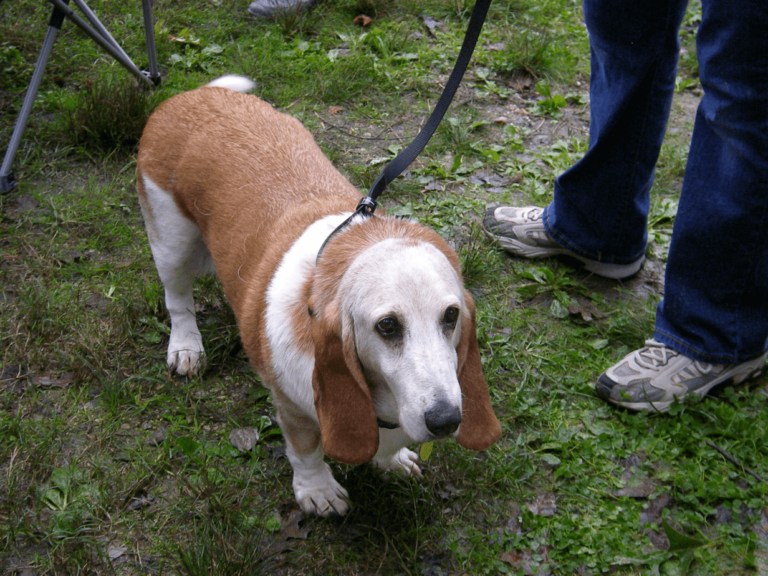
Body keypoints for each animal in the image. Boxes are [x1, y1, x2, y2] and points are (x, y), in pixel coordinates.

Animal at [136, 75, 500, 512]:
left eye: (451, 316)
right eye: (387, 326)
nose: (445, 420)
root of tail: (194, 95)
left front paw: (392, 460)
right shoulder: (294, 409)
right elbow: (305, 449)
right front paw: (318, 491)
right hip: (171, 245)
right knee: (178, 299)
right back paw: (186, 348)